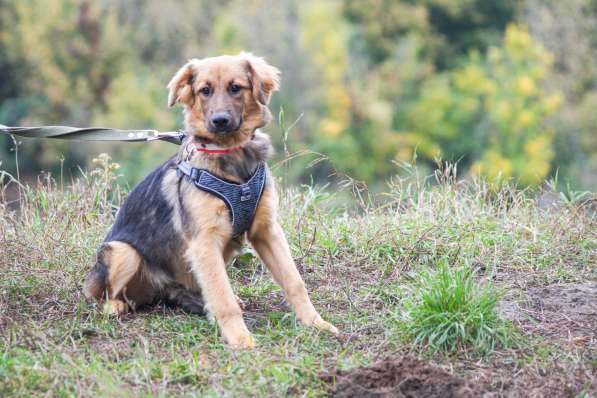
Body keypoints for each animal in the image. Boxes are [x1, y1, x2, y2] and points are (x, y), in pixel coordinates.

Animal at [82, 53, 340, 348]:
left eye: (236, 87)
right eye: (204, 90)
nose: (219, 121)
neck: (231, 156)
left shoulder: (266, 230)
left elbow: (294, 281)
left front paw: (315, 323)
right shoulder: (204, 242)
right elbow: (223, 298)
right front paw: (240, 339)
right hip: (122, 252)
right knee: (107, 295)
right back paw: (115, 306)